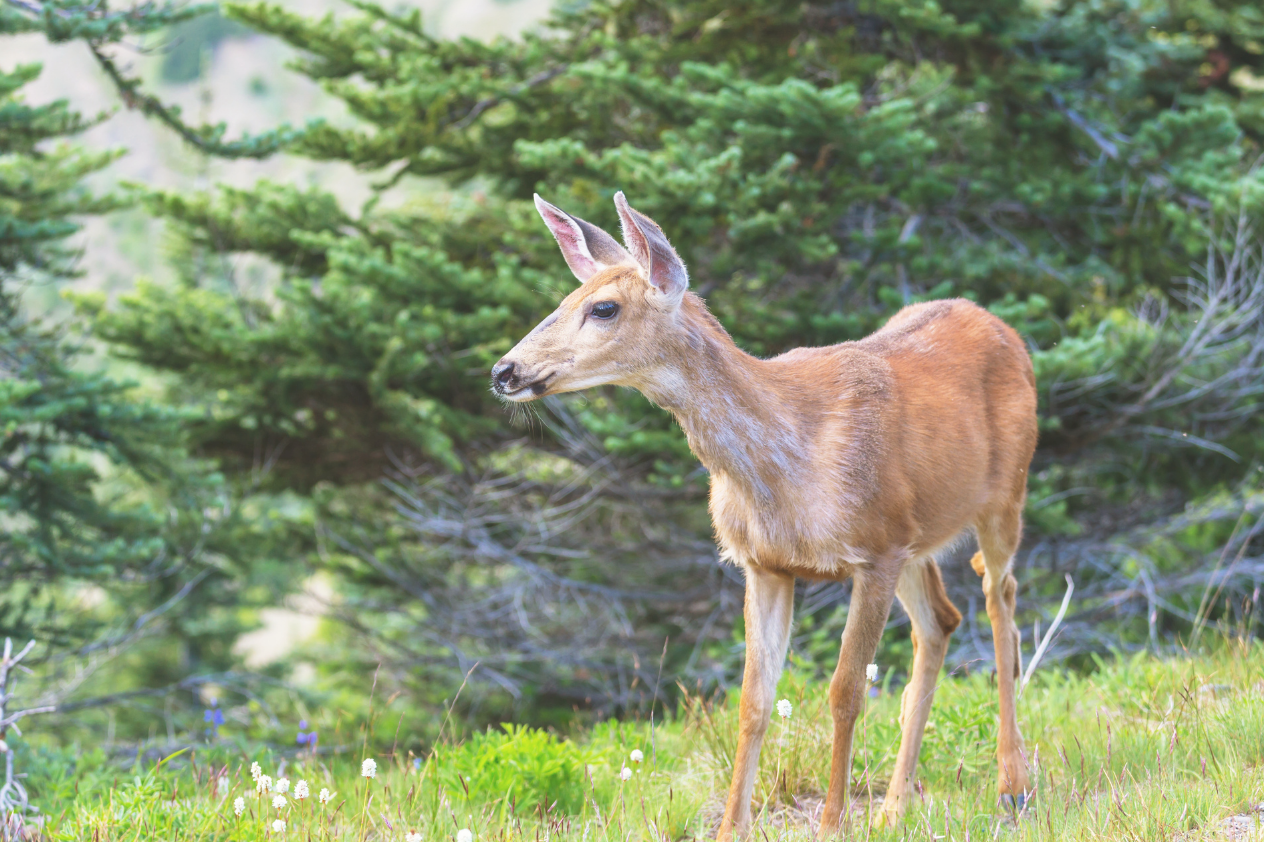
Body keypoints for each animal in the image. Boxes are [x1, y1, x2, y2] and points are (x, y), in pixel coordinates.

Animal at [492, 192, 1038, 839]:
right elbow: (753, 699)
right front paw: (733, 827)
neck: (781, 470)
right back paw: (895, 805)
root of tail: (1001, 325)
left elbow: (845, 692)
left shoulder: (873, 552)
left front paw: (831, 824)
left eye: (603, 308)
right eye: (561, 300)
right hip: (916, 534)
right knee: (941, 622)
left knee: (1000, 601)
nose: (504, 371)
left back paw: (1012, 785)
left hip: (1004, 494)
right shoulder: (767, 563)